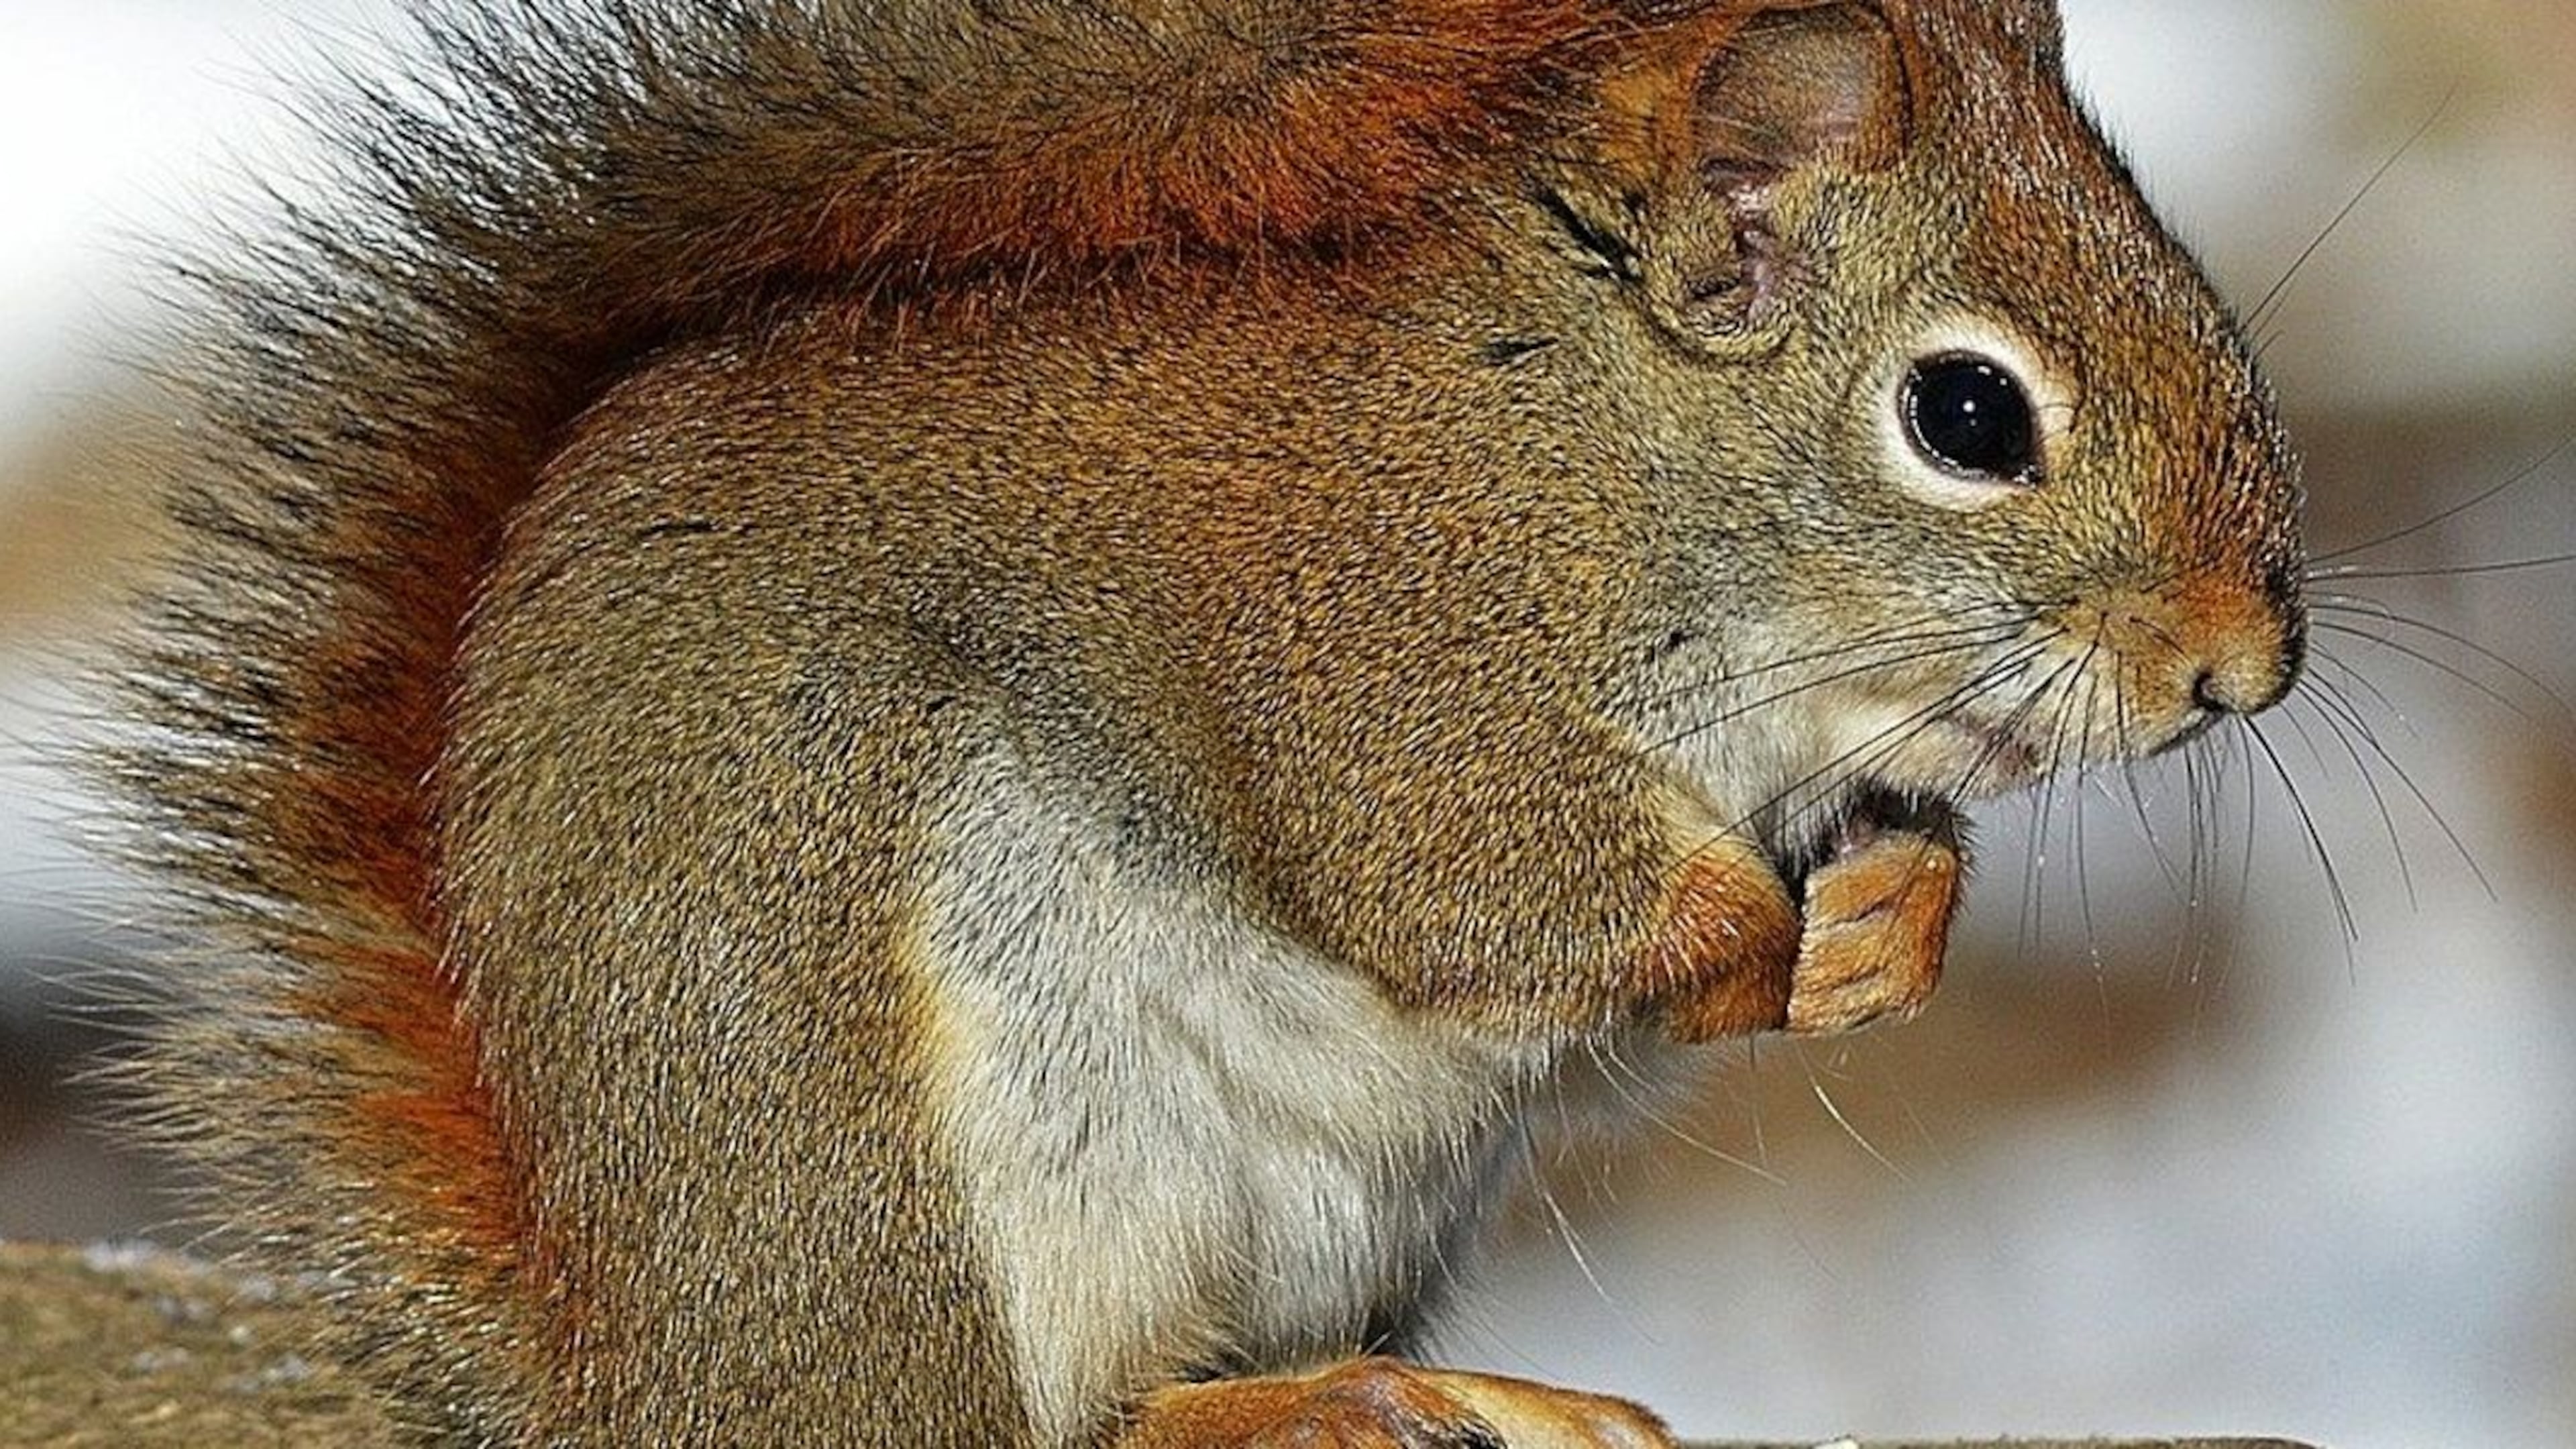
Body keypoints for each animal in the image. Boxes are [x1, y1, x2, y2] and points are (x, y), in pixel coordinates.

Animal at [106, 0, 2307, 1443]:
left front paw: (1889, 926)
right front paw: (1764, 935)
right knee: (1037, 1429)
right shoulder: (1388, 661)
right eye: (1966, 413)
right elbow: (1470, 892)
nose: (2242, 669)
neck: (1603, 445)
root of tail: (650, 1374)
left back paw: (1439, 1389)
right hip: (921, 1158)